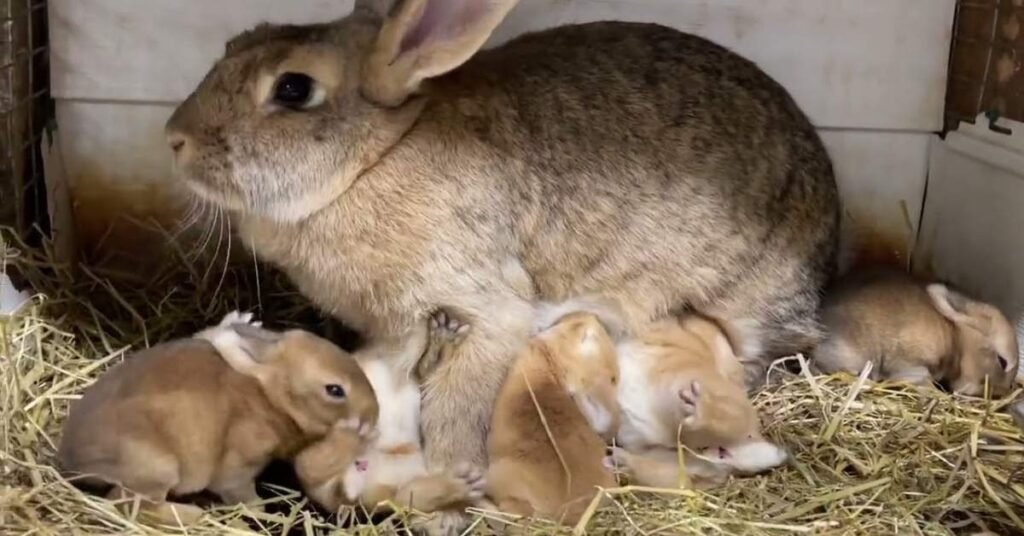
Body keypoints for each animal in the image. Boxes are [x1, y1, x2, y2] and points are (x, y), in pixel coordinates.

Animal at [57, 312, 378, 527]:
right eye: (335, 390)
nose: (373, 415)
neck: (270, 397)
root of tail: (71, 463)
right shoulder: (239, 466)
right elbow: (240, 492)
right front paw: (260, 510)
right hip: (155, 468)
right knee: (127, 504)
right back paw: (193, 515)